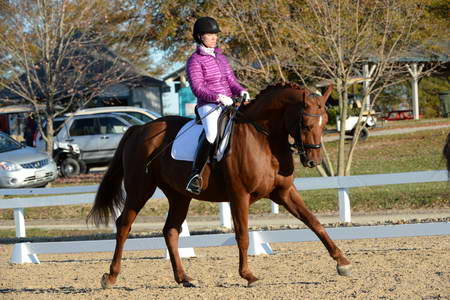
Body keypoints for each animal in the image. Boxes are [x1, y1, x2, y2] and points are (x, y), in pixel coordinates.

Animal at [88, 82, 354, 288]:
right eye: (306, 124)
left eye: (325, 122)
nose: (313, 161)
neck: (264, 139)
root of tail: (140, 128)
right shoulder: (239, 195)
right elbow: (242, 235)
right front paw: (248, 275)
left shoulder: (284, 192)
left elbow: (314, 222)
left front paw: (342, 263)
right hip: (140, 189)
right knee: (124, 225)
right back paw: (110, 277)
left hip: (179, 195)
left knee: (171, 230)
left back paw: (184, 278)